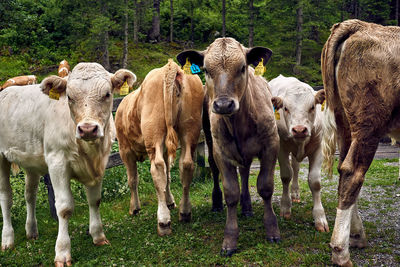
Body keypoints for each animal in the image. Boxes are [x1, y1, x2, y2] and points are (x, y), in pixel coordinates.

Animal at [0, 62, 136, 266]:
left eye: (107, 94)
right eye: (70, 97)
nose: (87, 129)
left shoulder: (100, 163)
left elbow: (95, 200)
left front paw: (98, 236)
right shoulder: (57, 162)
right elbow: (64, 208)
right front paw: (63, 252)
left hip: (31, 161)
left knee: (30, 195)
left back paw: (31, 230)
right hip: (1, 158)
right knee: (6, 197)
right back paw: (8, 239)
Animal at [115, 59, 203, 237]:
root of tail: (169, 67)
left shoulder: (124, 149)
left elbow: (132, 179)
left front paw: (134, 208)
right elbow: (168, 177)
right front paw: (170, 201)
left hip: (153, 132)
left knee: (157, 168)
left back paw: (163, 221)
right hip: (190, 129)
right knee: (186, 164)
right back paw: (184, 211)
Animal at [178, 36, 282, 256]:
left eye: (242, 67)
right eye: (206, 69)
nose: (223, 105)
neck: (240, 123)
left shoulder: (271, 145)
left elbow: (265, 187)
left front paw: (272, 229)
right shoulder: (222, 152)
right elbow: (231, 192)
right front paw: (230, 239)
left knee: (244, 171)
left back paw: (247, 207)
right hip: (209, 139)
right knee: (215, 169)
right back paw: (218, 203)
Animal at [268, 75, 328, 232]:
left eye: (312, 107)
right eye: (285, 108)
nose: (299, 130)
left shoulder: (318, 148)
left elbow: (315, 181)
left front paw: (320, 218)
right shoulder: (282, 149)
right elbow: (285, 176)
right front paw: (285, 207)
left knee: (295, 168)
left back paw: (295, 192)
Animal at [320, 19, 400, 267]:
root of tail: (359, 25)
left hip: (345, 123)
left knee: (343, 170)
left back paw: (355, 235)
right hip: (369, 125)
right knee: (353, 173)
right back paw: (340, 252)